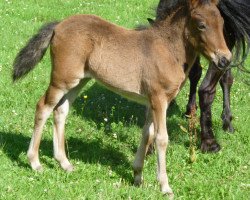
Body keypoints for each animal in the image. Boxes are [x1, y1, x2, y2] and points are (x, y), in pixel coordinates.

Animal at [13, 0, 231, 197]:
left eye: (222, 23)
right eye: (201, 24)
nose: (225, 59)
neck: (168, 49)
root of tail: (58, 25)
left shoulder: (152, 102)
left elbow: (147, 133)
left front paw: (137, 177)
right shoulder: (159, 99)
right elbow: (161, 138)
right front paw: (165, 186)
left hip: (79, 81)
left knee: (61, 110)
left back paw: (65, 163)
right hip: (62, 79)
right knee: (43, 107)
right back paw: (35, 162)